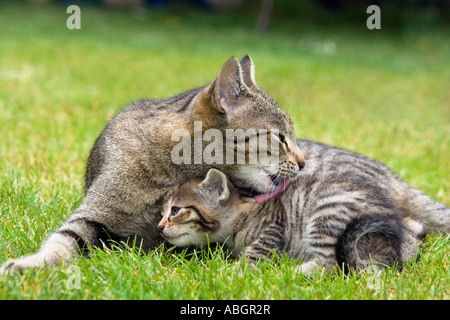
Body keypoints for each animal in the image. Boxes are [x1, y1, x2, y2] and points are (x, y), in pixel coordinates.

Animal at [158, 162, 446, 272]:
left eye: (176, 210)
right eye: (163, 211)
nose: (160, 227)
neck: (243, 213)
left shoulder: (274, 227)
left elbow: (254, 255)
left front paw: (230, 272)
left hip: (327, 212)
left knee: (330, 264)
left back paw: (296, 272)